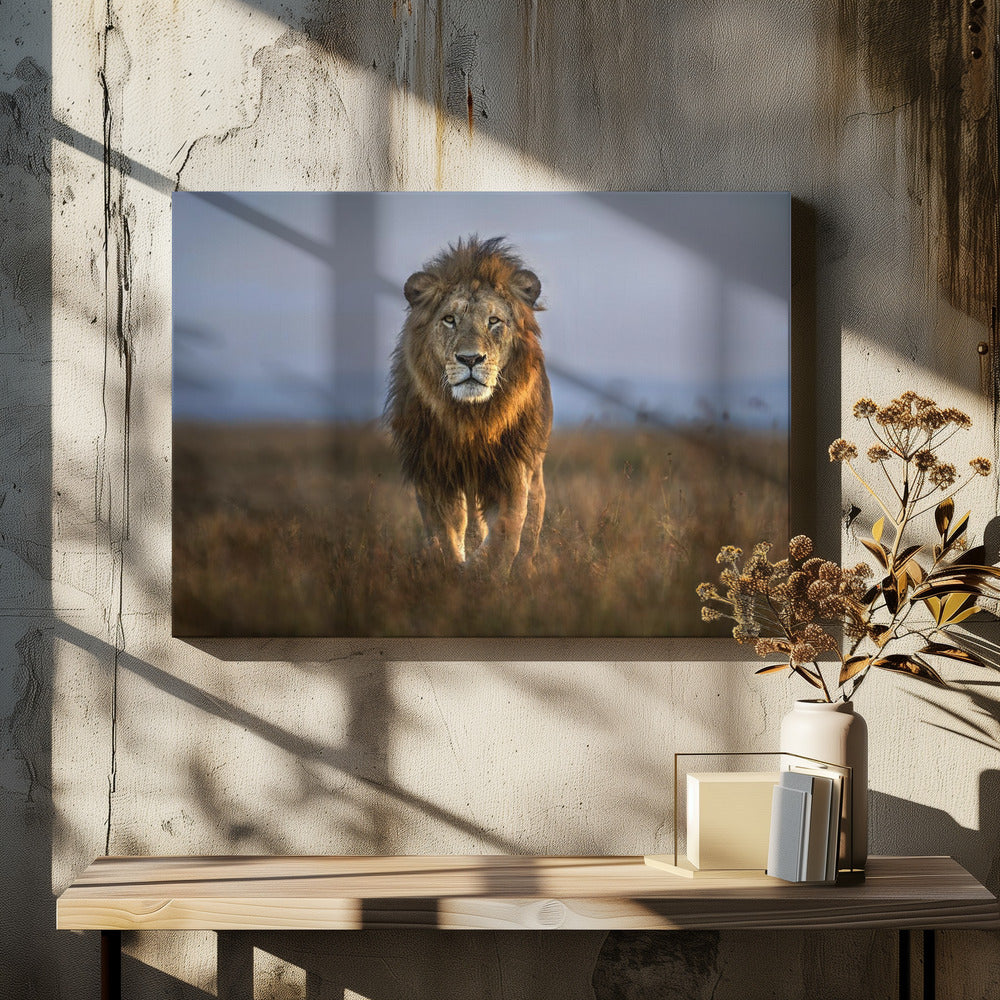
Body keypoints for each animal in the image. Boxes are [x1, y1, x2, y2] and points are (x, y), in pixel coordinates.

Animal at [386, 235, 553, 574]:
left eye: (494, 321)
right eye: (450, 319)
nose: (471, 359)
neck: (471, 417)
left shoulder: (511, 468)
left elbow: (506, 532)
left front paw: (484, 572)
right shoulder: (433, 470)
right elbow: (445, 532)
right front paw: (451, 569)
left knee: (531, 522)